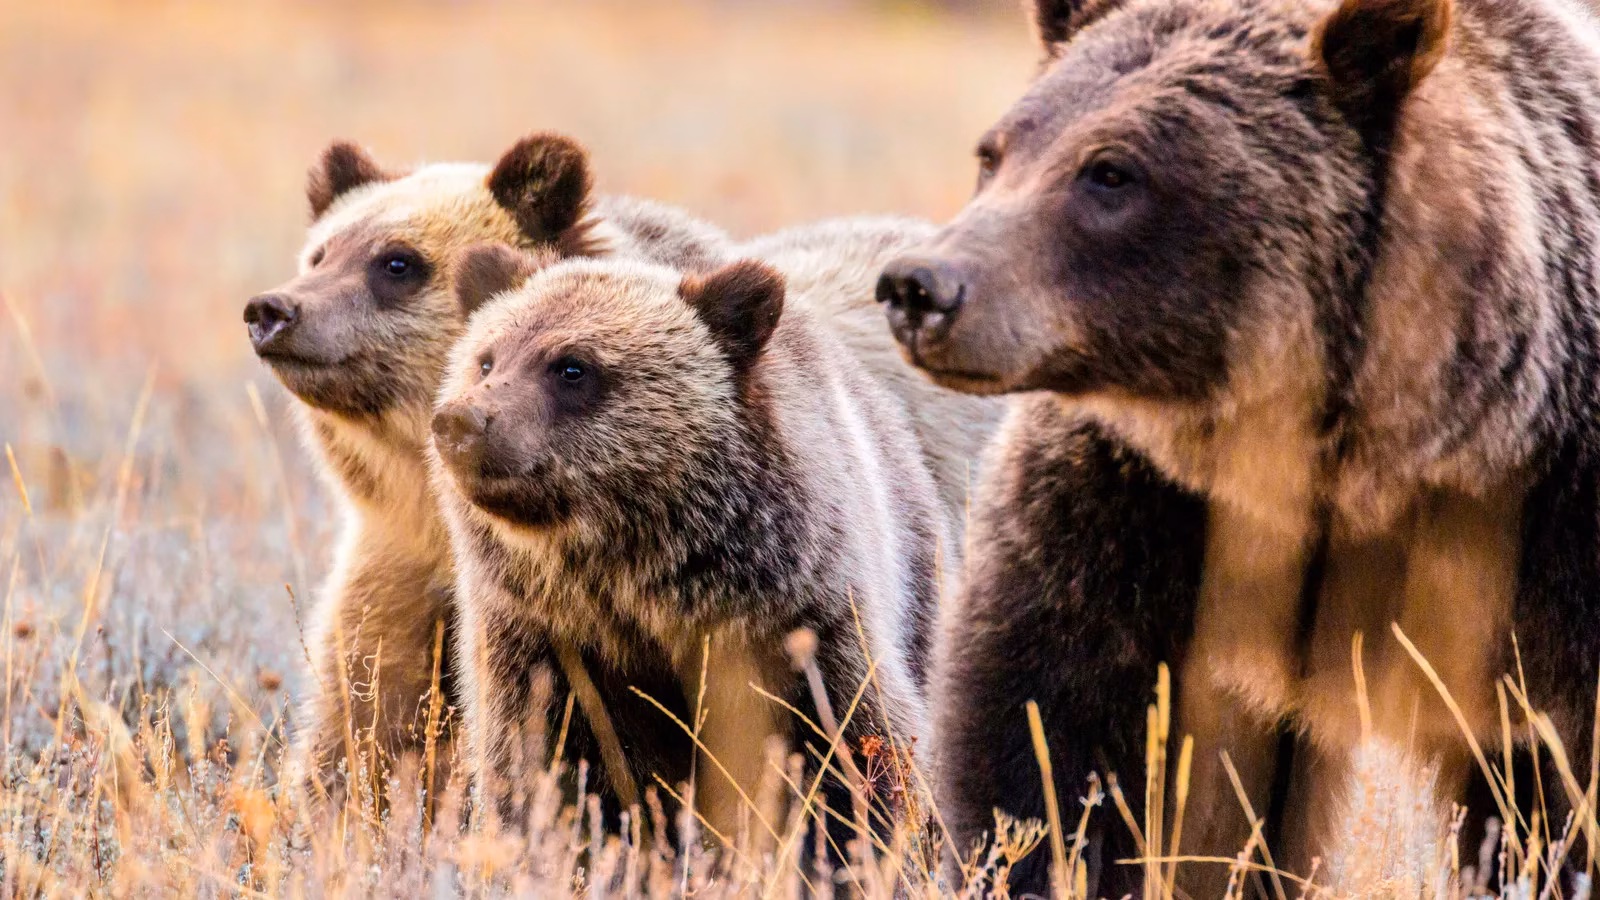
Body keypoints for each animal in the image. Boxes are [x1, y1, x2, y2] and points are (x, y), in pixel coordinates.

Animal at [428, 246, 961, 865]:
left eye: (572, 367)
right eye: (486, 360)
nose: (460, 421)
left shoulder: (798, 625)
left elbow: (854, 755)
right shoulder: (548, 646)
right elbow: (548, 769)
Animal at [875, 0, 1600, 894]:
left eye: (1111, 172)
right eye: (995, 153)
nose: (920, 286)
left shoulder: (1553, 529)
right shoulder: (1140, 515)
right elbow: (1057, 740)